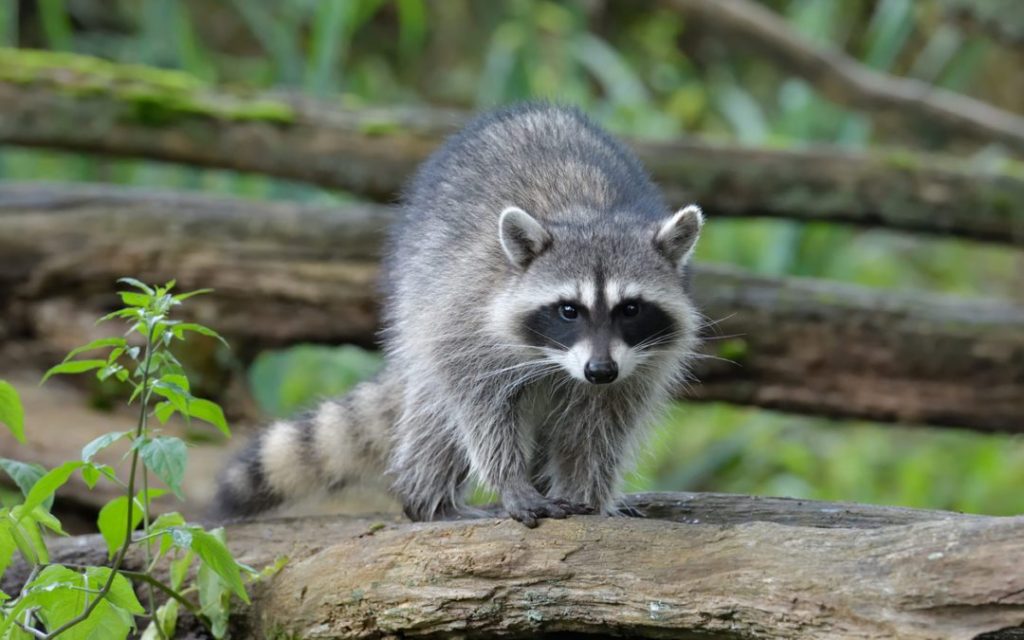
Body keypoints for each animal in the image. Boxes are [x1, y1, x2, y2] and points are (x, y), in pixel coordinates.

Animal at [211, 102, 700, 528]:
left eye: (630, 309)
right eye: (568, 310)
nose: (599, 371)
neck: (590, 216)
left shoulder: (637, 365)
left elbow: (601, 429)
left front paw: (588, 495)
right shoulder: (469, 316)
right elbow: (478, 404)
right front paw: (509, 480)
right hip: (417, 293)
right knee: (434, 415)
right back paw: (429, 499)